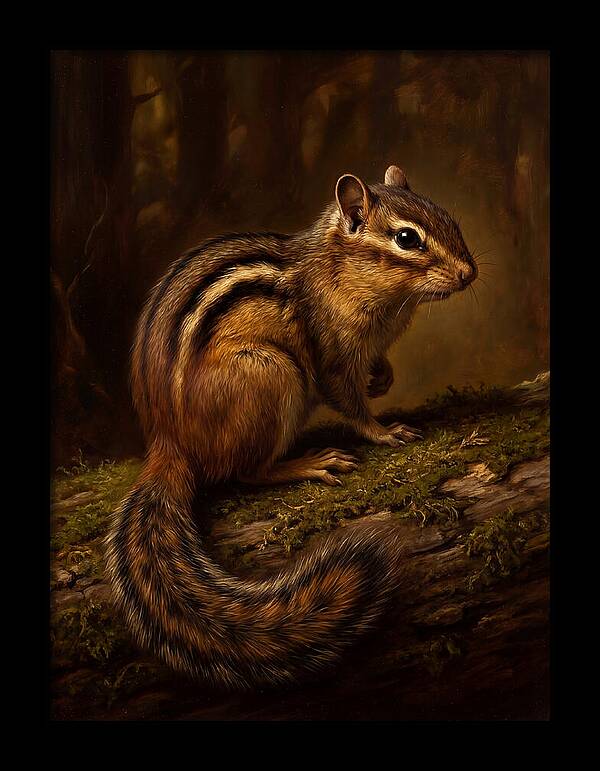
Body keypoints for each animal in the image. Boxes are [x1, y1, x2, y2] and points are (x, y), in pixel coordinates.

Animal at [105, 164, 477, 689]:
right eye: (407, 239)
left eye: (449, 218)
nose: (470, 273)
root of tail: (169, 443)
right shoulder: (332, 353)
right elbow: (348, 401)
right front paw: (384, 432)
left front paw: (383, 378)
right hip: (271, 374)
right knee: (245, 472)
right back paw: (310, 463)